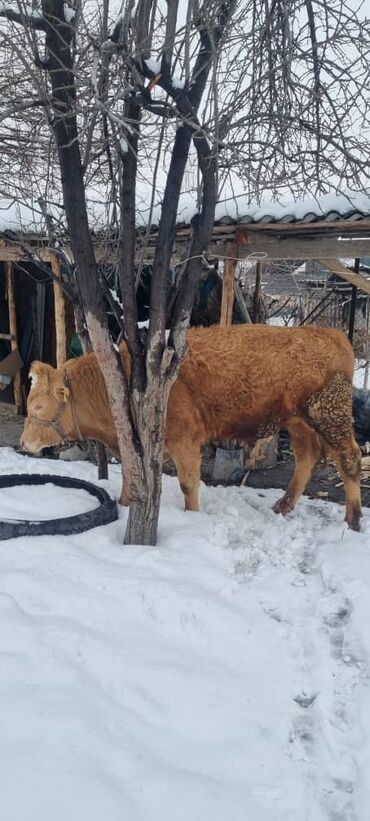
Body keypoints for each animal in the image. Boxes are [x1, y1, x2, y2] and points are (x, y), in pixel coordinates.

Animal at [20, 324, 362, 528]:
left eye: (37, 406)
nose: (23, 443)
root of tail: (330, 333)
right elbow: (132, 478)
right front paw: (124, 505)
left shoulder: (185, 440)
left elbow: (188, 484)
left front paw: (192, 518)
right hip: (298, 421)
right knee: (306, 456)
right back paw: (284, 505)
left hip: (330, 414)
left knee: (349, 459)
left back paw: (353, 519)